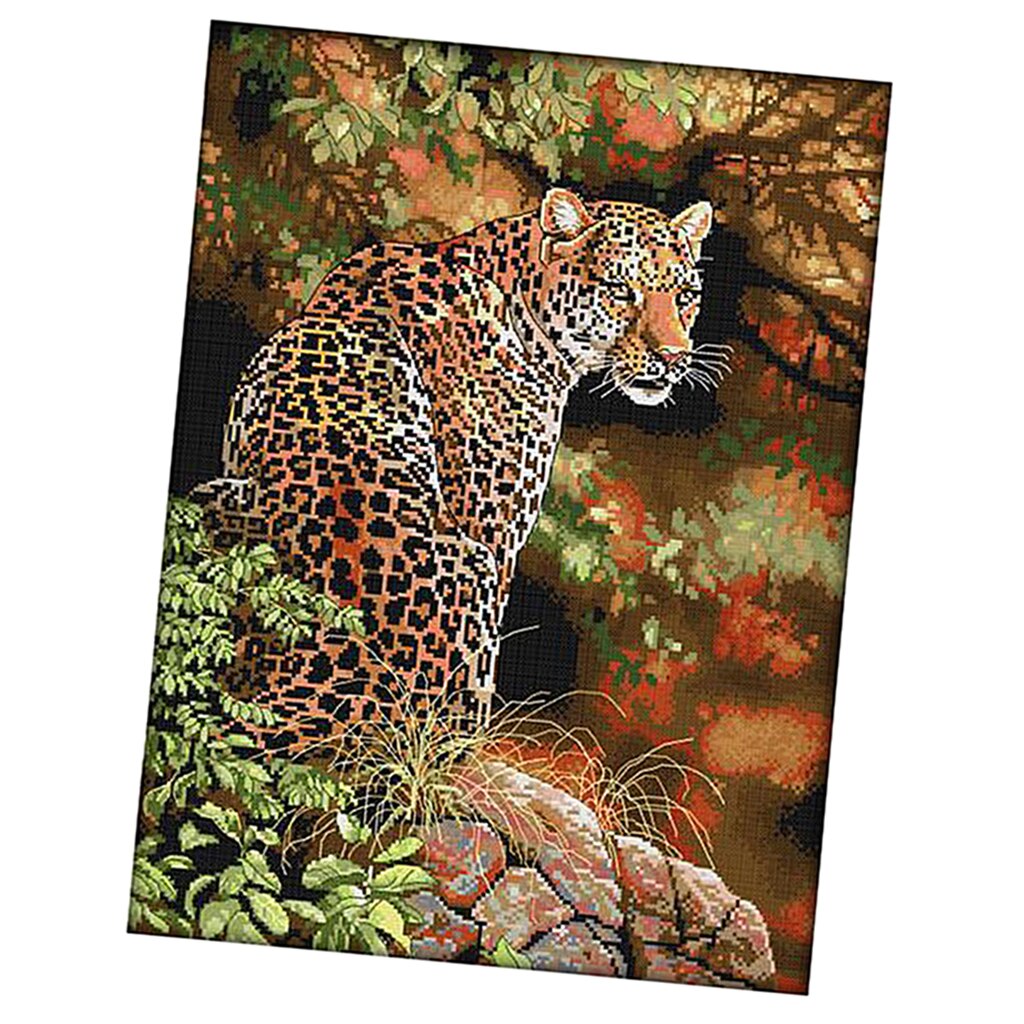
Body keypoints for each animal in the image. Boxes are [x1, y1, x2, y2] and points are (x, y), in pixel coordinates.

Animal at [194, 188, 722, 750]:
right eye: (620, 290)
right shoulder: (495, 533)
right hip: (469, 568)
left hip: (214, 495)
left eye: (686, 295)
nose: (674, 357)